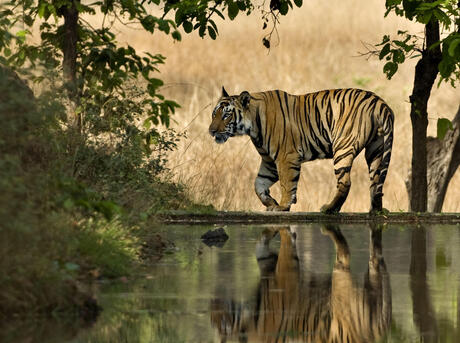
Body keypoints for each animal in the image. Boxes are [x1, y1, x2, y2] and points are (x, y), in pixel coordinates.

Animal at [208, 87, 392, 214]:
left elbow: (287, 183)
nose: (211, 131)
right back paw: (375, 210)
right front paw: (271, 203)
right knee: (376, 181)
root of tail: (379, 102)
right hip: (376, 149)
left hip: (343, 147)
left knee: (345, 182)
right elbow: (258, 184)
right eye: (213, 114)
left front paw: (282, 206)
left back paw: (329, 208)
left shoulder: (286, 157)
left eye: (226, 116)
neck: (253, 127)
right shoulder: (269, 162)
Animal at [210, 226, 390, 343]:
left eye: (222, 323)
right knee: (376, 264)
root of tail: (376, 333)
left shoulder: (284, 277)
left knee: (344, 256)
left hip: (341, 287)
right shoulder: (267, 265)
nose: (213, 302)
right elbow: (259, 246)